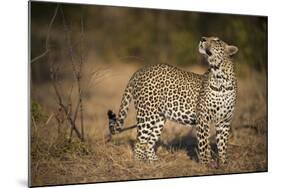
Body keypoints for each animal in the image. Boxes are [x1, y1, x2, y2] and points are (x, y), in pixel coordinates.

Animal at [106, 36, 236, 164]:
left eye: (217, 40)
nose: (202, 38)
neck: (220, 77)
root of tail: (141, 69)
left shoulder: (225, 121)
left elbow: (223, 145)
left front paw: (224, 163)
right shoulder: (203, 118)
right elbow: (204, 144)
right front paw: (206, 164)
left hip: (158, 118)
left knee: (149, 142)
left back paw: (155, 161)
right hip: (146, 115)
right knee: (140, 143)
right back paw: (140, 163)